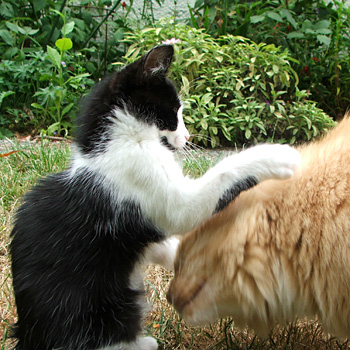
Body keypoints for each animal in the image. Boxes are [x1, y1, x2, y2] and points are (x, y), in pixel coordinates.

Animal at [11, 45, 300, 348]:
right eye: (174, 111)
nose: (188, 136)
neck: (117, 144)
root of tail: (30, 338)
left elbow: (166, 245)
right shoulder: (162, 197)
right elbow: (218, 178)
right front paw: (276, 154)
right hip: (106, 315)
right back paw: (145, 343)